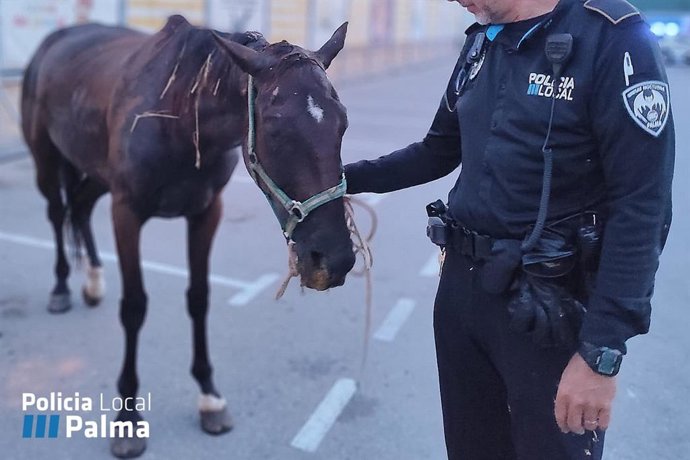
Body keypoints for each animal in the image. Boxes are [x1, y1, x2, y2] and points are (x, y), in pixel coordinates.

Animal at [21, 15, 355, 458]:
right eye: (275, 127)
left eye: (342, 122)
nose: (333, 260)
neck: (179, 113)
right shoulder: (126, 213)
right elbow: (134, 308)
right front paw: (128, 416)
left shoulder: (205, 213)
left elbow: (199, 298)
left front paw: (209, 396)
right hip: (46, 160)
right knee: (59, 212)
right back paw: (61, 287)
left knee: (80, 206)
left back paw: (92, 281)